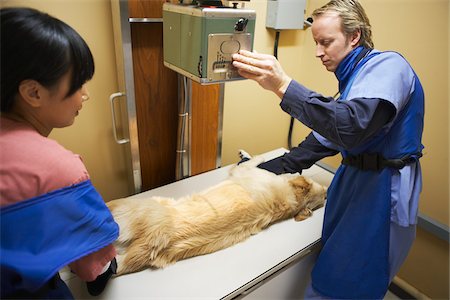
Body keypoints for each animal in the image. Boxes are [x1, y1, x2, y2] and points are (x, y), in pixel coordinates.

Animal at [109, 154, 326, 276]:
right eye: (323, 193)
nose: (328, 190)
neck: (292, 199)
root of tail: (155, 237)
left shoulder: (244, 170)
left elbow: (254, 160)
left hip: (125, 204)